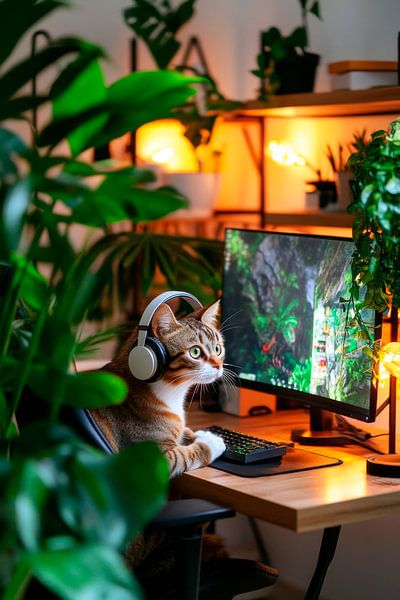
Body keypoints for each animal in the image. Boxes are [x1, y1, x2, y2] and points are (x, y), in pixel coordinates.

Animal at [92, 300, 227, 478]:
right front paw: (211, 442)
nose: (218, 366)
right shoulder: (150, 460)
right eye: (195, 352)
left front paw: (201, 433)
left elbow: (184, 430)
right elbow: (185, 454)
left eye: (218, 349)